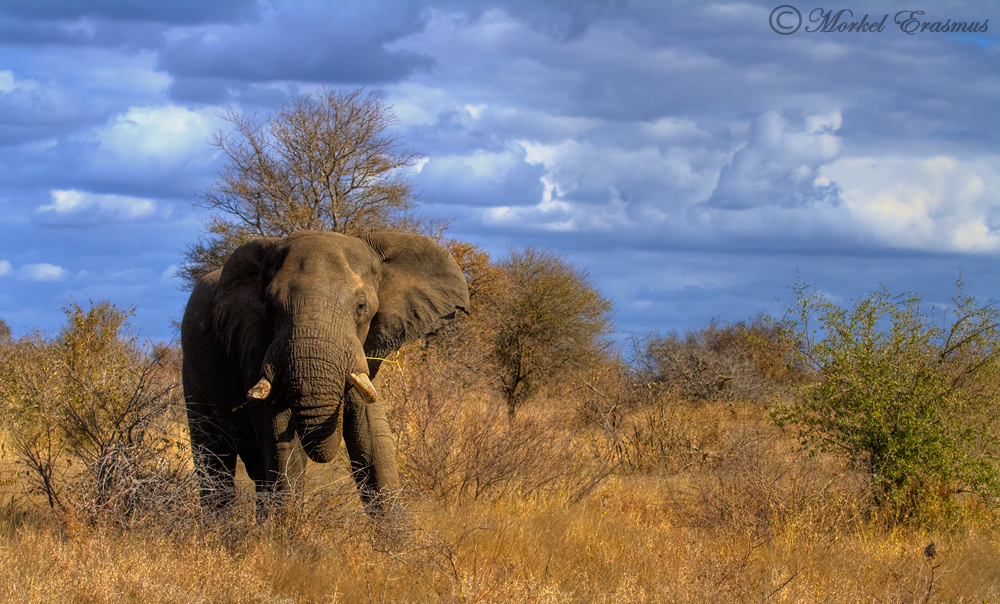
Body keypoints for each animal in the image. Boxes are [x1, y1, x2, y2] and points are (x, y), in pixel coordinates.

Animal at [181, 230, 469, 511]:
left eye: (361, 307)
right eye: (269, 308)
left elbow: (373, 445)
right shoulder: (254, 348)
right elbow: (282, 448)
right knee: (214, 461)